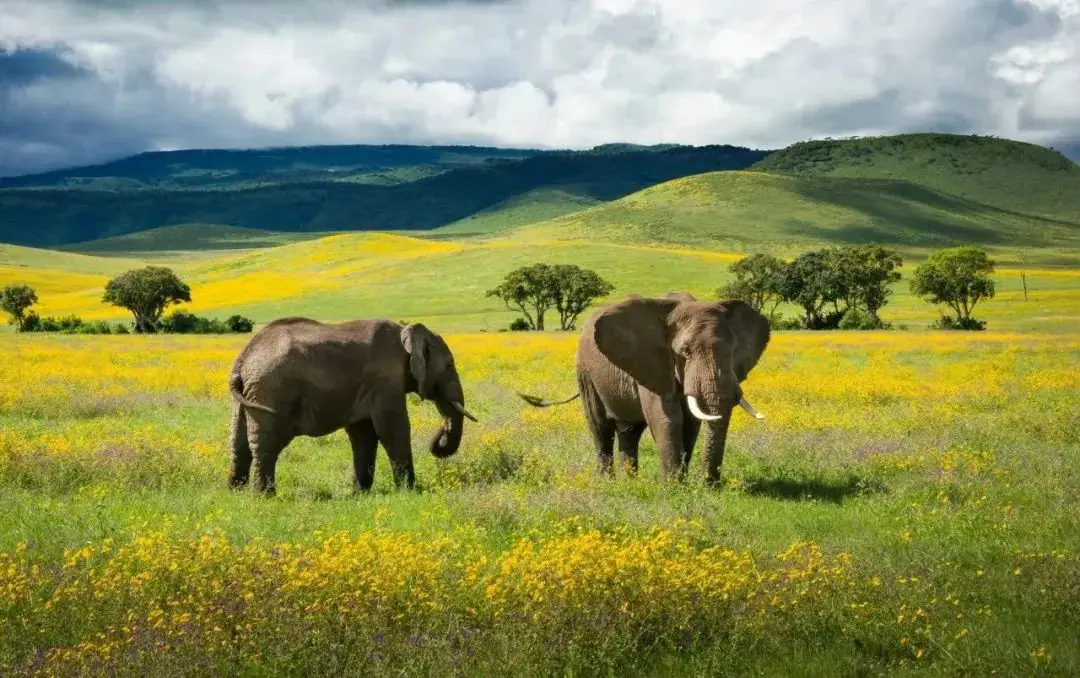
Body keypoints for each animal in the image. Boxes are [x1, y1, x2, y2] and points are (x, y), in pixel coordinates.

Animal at [225, 315, 475, 494]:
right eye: (450, 365)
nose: (440, 433)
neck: (405, 332)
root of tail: (243, 359)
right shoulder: (385, 380)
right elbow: (392, 428)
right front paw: (410, 492)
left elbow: (364, 434)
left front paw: (359, 493)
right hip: (271, 390)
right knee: (266, 443)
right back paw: (264, 496)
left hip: (250, 393)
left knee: (238, 441)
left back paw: (236, 493)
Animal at [520, 291, 768, 481]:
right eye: (685, 352)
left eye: (734, 350)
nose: (710, 485)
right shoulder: (652, 361)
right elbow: (666, 417)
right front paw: (674, 487)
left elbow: (690, 423)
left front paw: (684, 484)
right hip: (585, 372)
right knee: (600, 426)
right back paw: (607, 483)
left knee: (629, 431)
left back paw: (630, 482)